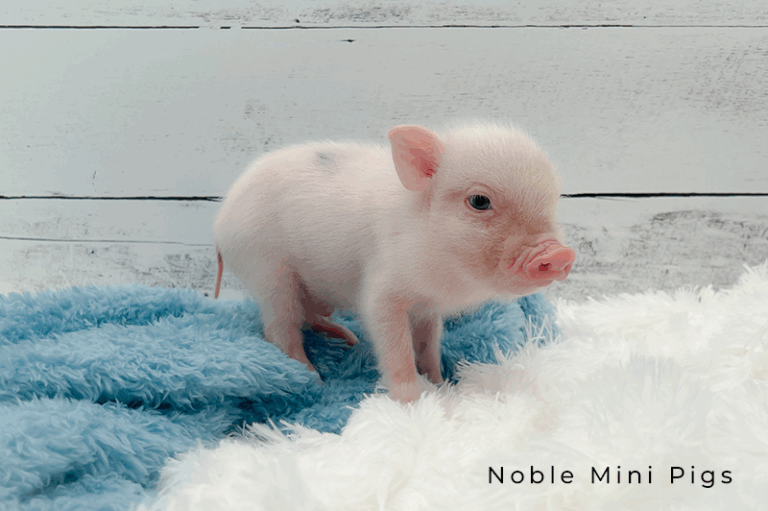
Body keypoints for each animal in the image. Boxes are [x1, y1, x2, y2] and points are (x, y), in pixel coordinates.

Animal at [213, 121, 575, 403]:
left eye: (554, 198)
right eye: (479, 200)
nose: (558, 254)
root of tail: (221, 221)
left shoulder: (428, 306)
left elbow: (429, 345)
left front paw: (442, 385)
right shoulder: (382, 292)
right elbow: (396, 348)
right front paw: (413, 402)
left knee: (309, 315)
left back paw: (348, 338)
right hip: (267, 271)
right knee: (279, 328)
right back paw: (314, 378)